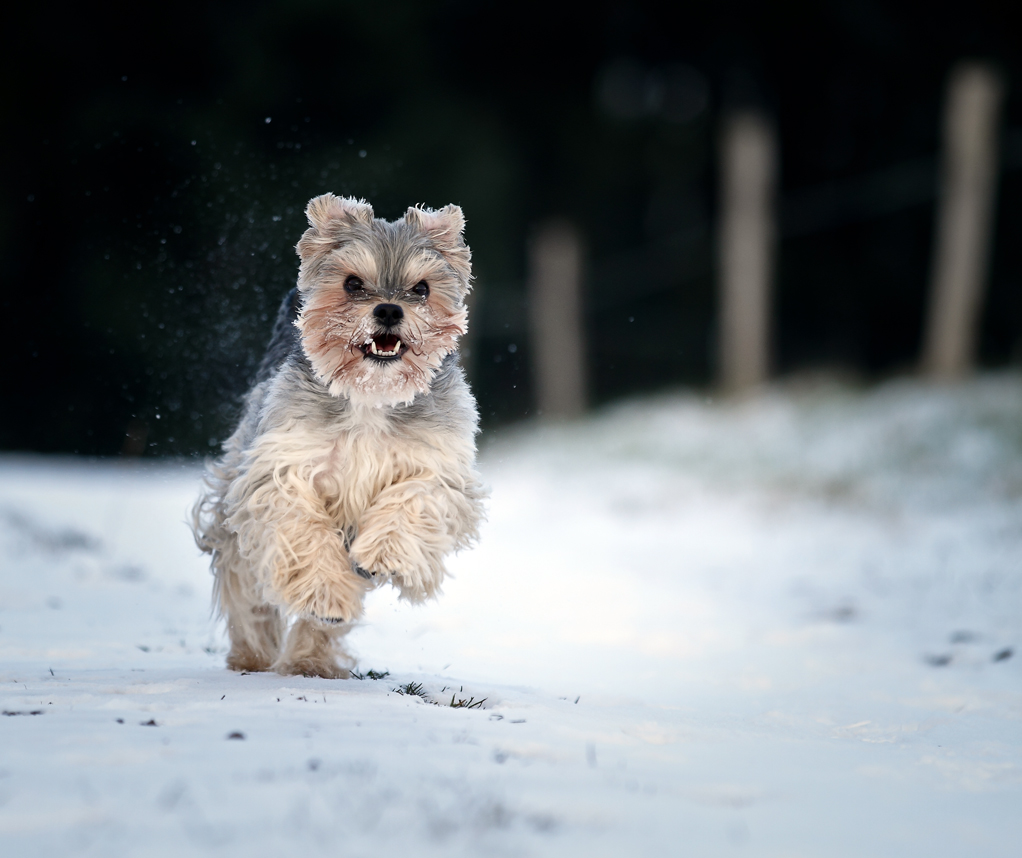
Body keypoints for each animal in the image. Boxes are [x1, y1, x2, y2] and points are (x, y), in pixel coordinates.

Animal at [191, 194, 486, 678]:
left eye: (422, 289)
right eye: (352, 284)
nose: (388, 310)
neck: (369, 397)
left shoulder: (438, 469)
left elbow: (411, 502)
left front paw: (383, 555)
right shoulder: (279, 472)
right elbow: (304, 533)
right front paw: (325, 594)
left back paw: (311, 660)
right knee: (245, 585)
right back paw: (255, 654)